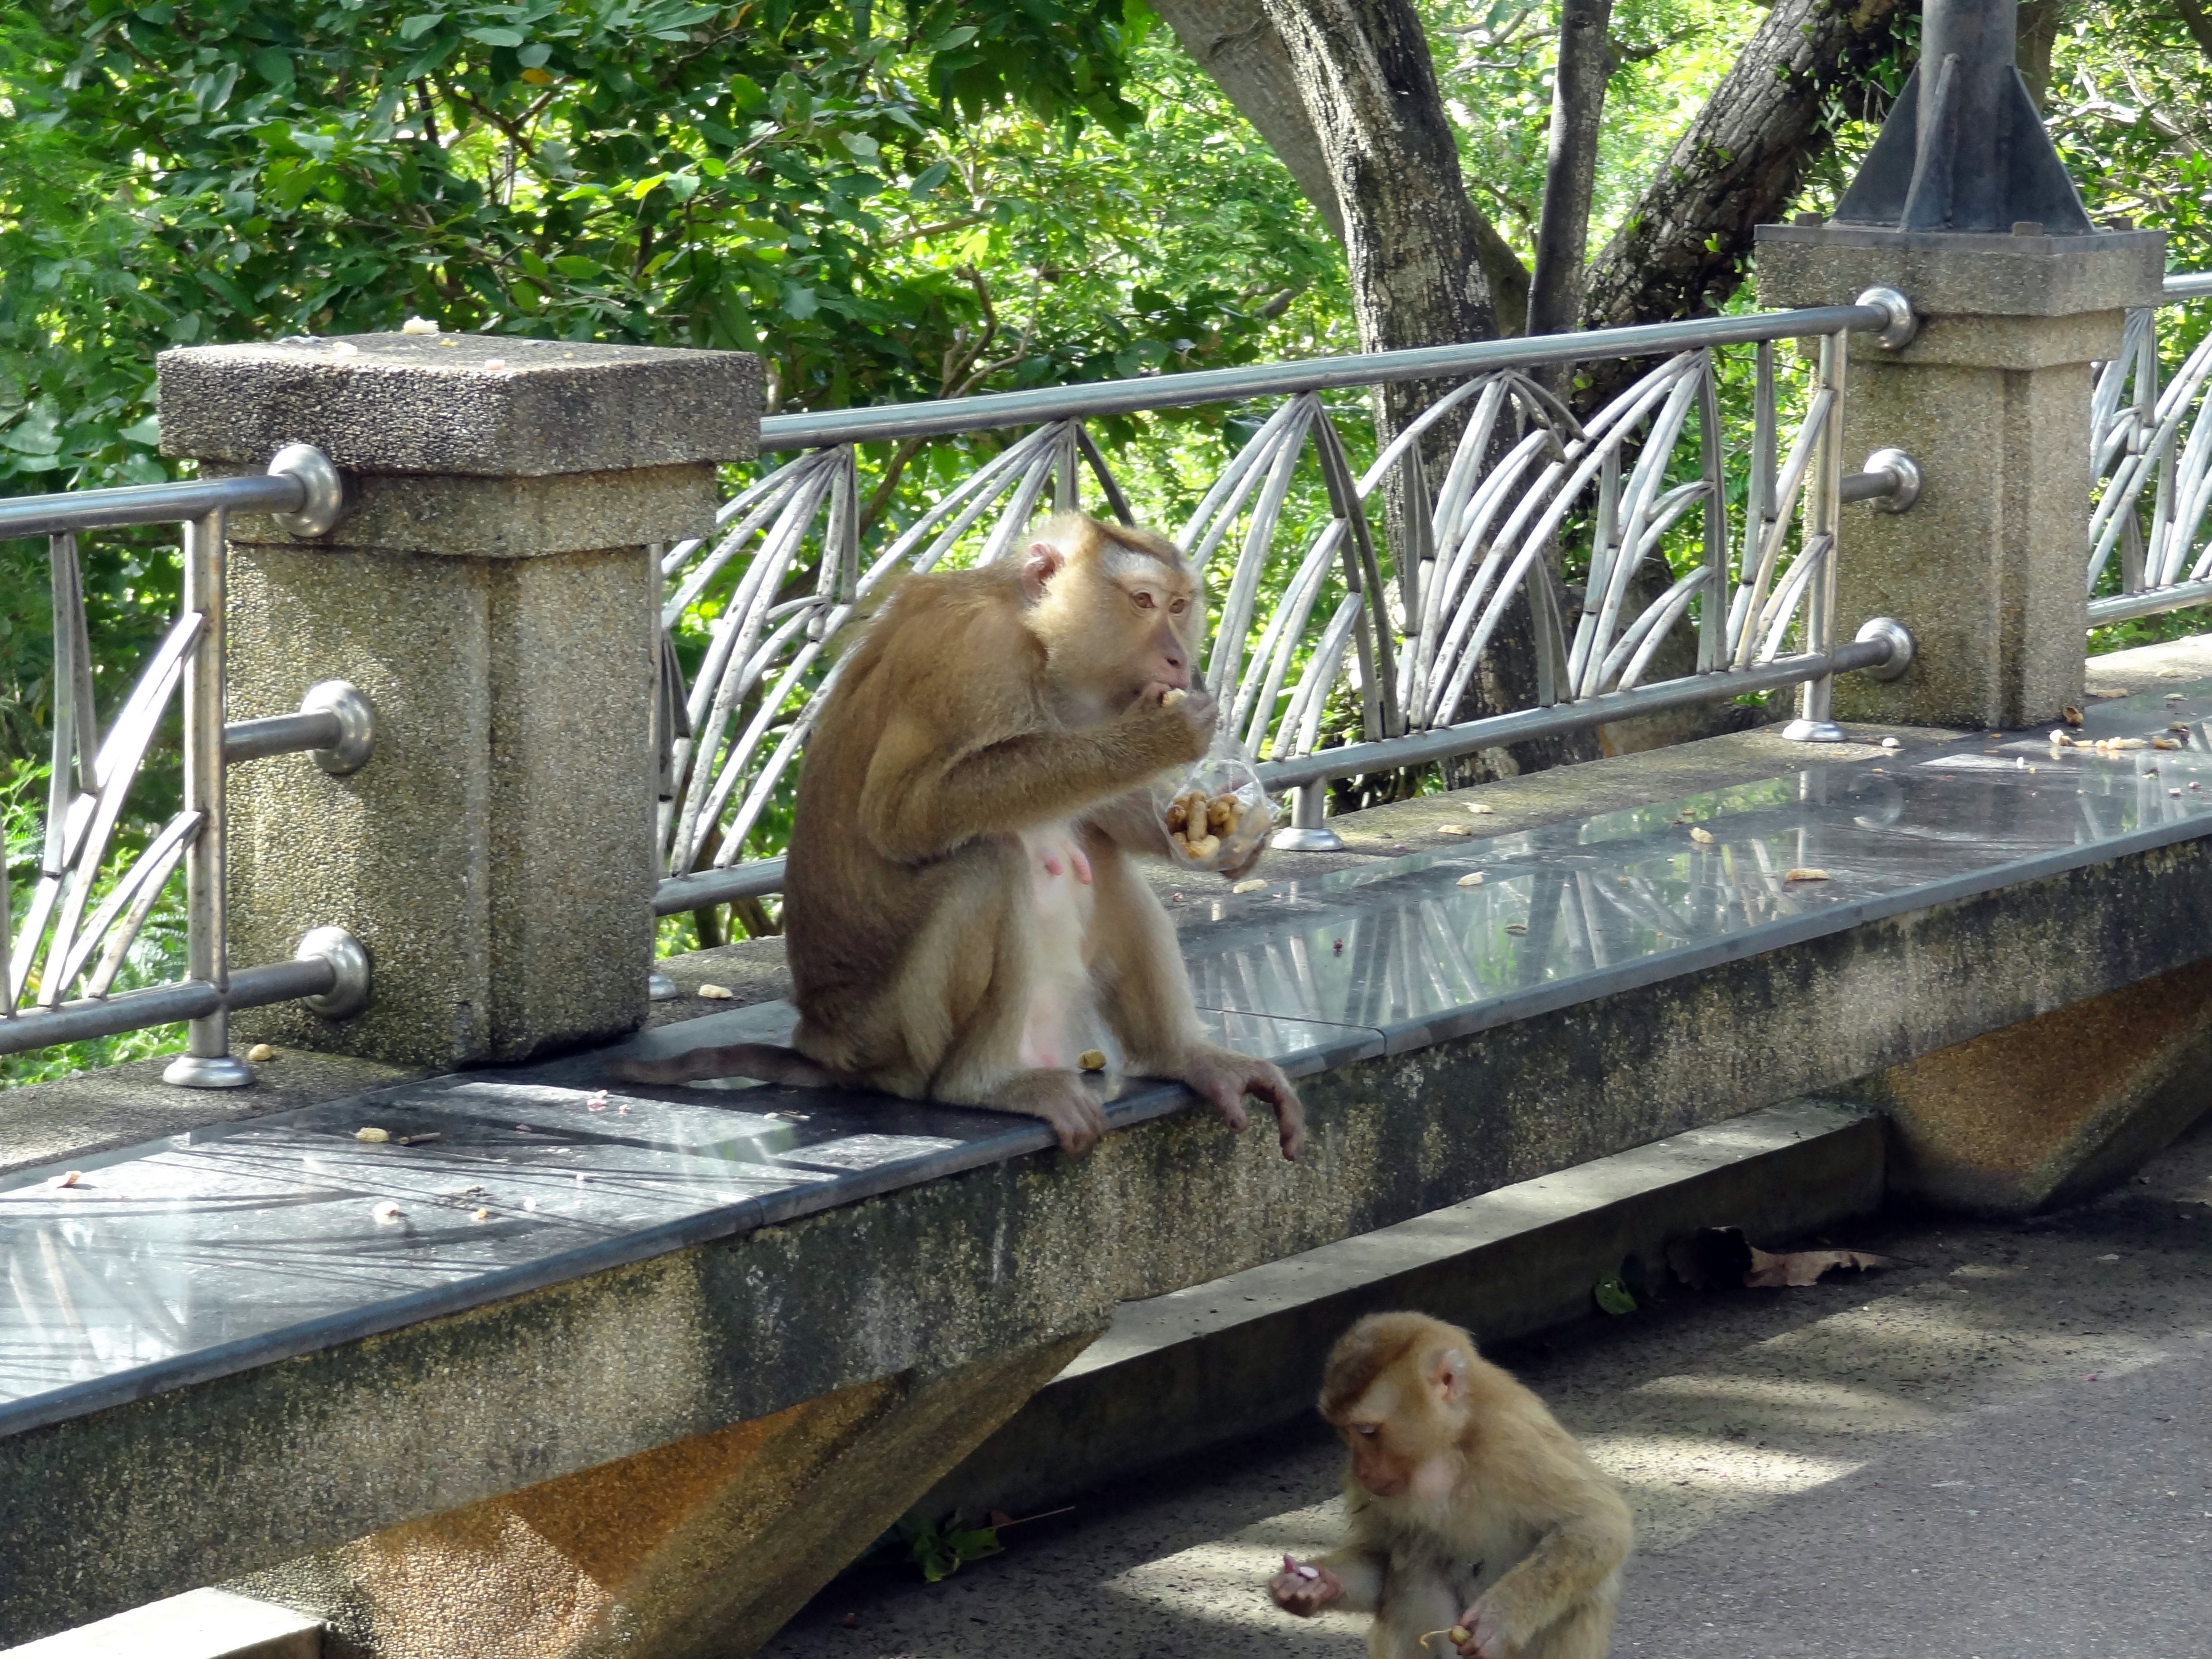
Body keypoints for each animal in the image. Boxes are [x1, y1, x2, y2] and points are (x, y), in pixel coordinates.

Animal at [606, 513, 1300, 1159]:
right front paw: (1161, 739)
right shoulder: (971, 653)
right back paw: (980, 1086)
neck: (1037, 643)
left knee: (1097, 859)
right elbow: (907, 814)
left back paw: (1185, 1057)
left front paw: (1237, 839)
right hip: (893, 1034)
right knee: (988, 862)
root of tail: (824, 1046)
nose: (1179, 658)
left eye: (1180, 607)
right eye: (1144, 602)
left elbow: (1100, 814)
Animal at [1274, 1318, 1636, 1654]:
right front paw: (1314, 1585)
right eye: (1344, 1431)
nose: (1360, 1471)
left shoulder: (1514, 1441)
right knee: (1415, 1558)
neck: (1447, 1448)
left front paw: (1497, 1621)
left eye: (1367, 1432)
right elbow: (1382, 1555)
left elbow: (1597, 1523)